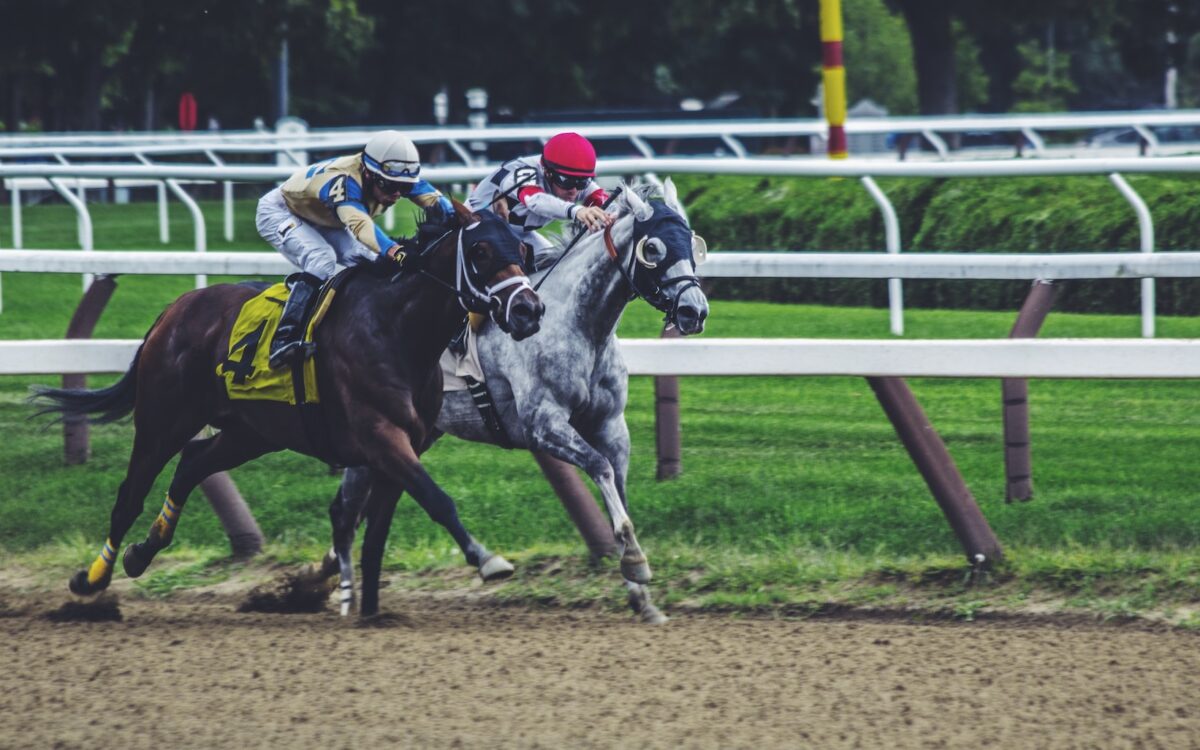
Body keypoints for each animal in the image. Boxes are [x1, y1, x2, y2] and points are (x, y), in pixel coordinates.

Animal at [34, 201, 544, 612]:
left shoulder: (405, 445)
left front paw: (369, 609)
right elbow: (437, 499)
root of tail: (174, 309)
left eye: (523, 252)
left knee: (192, 465)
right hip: (164, 421)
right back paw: (92, 579)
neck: (396, 328)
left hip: (252, 432)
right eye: (480, 251)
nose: (529, 311)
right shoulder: (381, 436)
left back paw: (142, 552)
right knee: (130, 497)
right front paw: (488, 560)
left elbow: (377, 532)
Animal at [326, 180, 710, 619]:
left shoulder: (611, 424)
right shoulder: (543, 424)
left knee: (355, 510)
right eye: (654, 249)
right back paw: (343, 595)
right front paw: (634, 561)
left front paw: (641, 595)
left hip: (412, 439)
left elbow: (619, 485)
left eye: (693, 243)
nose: (694, 311)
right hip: (375, 432)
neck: (577, 323)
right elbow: (599, 467)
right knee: (345, 513)